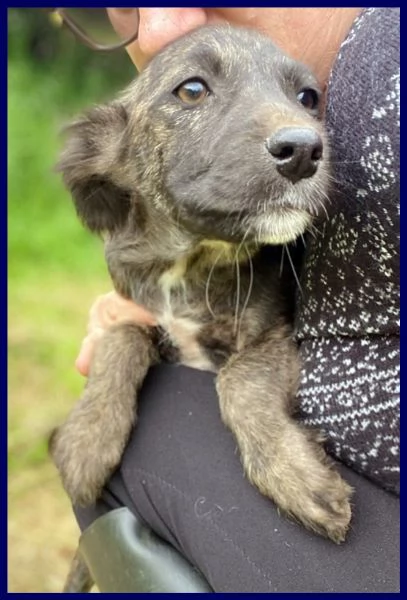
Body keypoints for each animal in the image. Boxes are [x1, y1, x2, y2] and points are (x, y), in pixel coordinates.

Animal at [50, 23, 354, 592]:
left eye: (308, 98)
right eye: (191, 90)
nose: (305, 150)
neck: (192, 261)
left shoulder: (275, 336)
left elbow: (238, 379)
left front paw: (295, 474)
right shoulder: (138, 311)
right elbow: (121, 338)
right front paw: (88, 438)